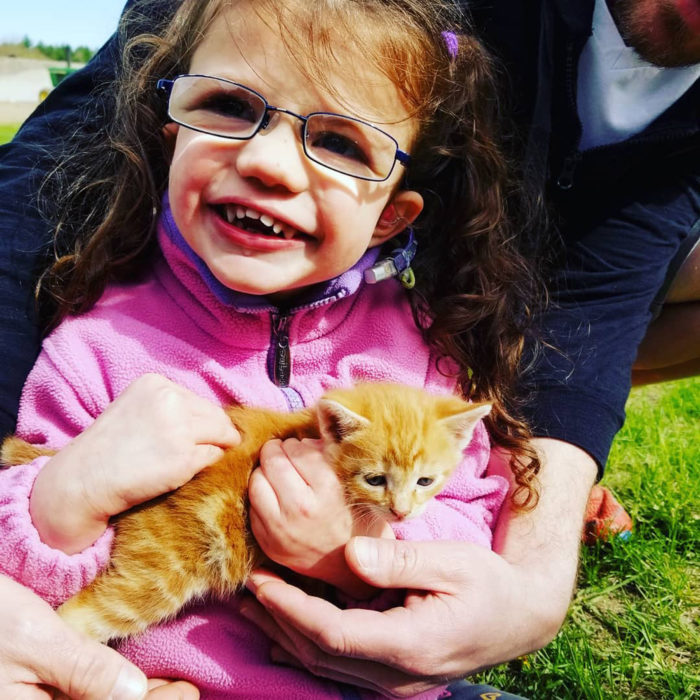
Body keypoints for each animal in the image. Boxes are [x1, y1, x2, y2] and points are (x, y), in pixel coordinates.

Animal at [1, 386, 492, 644]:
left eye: (425, 481)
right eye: (375, 479)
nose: (401, 511)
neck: (310, 435)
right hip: (158, 576)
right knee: (75, 616)